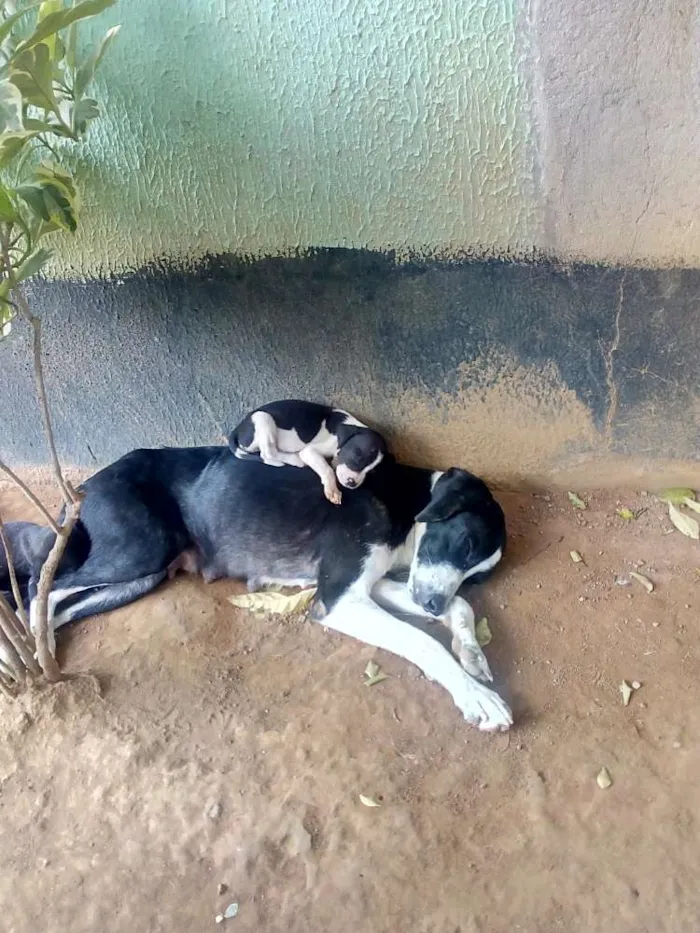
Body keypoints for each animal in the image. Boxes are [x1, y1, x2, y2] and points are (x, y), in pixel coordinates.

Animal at [2, 448, 512, 732]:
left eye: (479, 575)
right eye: (466, 544)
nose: (432, 603)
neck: (407, 502)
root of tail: (88, 482)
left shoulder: (375, 585)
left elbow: (461, 608)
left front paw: (472, 653)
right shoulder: (339, 599)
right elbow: (422, 641)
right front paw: (475, 697)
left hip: (140, 575)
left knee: (64, 603)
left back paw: (43, 645)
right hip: (138, 549)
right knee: (41, 586)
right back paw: (28, 646)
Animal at [228, 398, 388, 502]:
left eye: (372, 472)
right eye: (358, 455)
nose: (352, 484)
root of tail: (238, 429)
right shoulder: (309, 451)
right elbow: (327, 470)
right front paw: (333, 490)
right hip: (263, 418)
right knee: (267, 453)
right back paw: (294, 459)